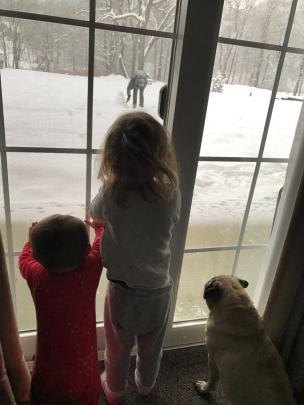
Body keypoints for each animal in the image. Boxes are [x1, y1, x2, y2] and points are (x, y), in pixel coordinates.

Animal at [195, 274, 296, 404]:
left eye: (207, 284)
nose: (204, 289)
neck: (235, 306)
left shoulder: (212, 359)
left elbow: (212, 380)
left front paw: (204, 389)